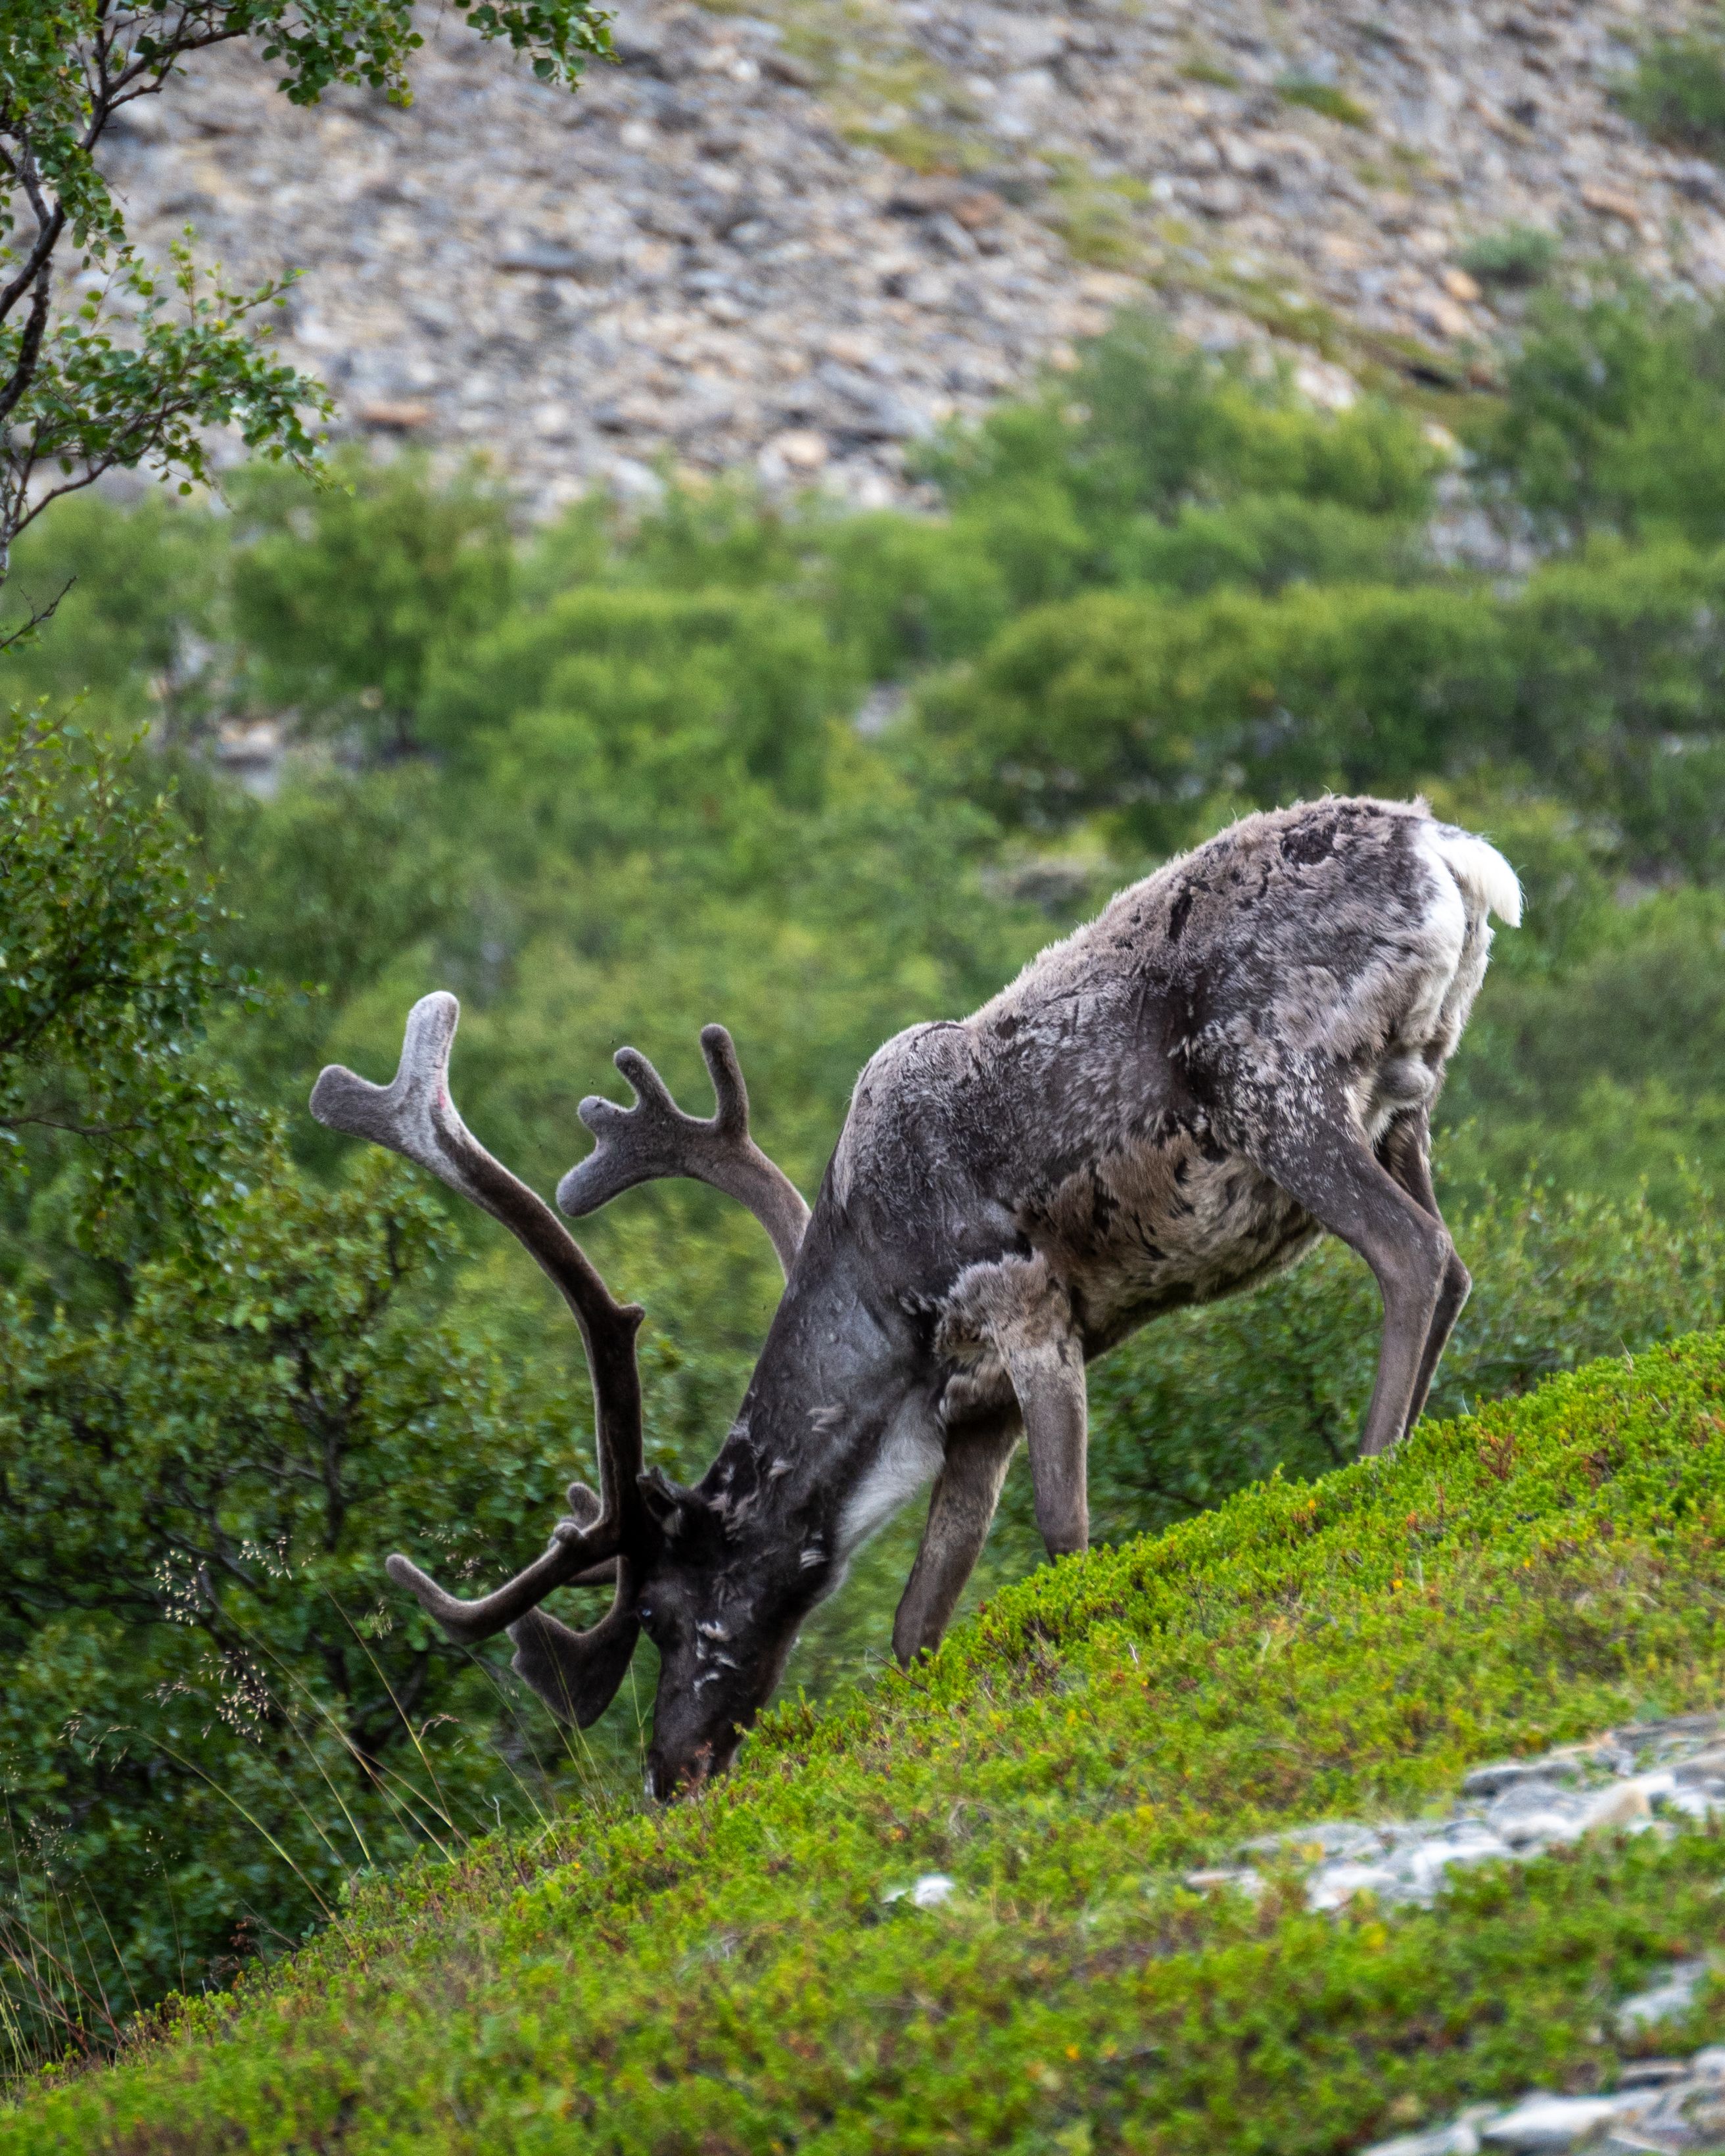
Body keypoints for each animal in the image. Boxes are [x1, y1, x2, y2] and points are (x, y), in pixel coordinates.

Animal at [310, 794, 1520, 1798]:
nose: (670, 1769)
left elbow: (1063, 1531)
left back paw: (1365, 1469)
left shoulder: (1024, 1306)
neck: (884, 1321)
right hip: (1405, 1096)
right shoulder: (970, 1409)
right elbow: (915, 1618)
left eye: (658, 1610)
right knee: (1451, 1263)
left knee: (1410, 1254)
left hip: (1282, 1088)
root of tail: (1451, 853)